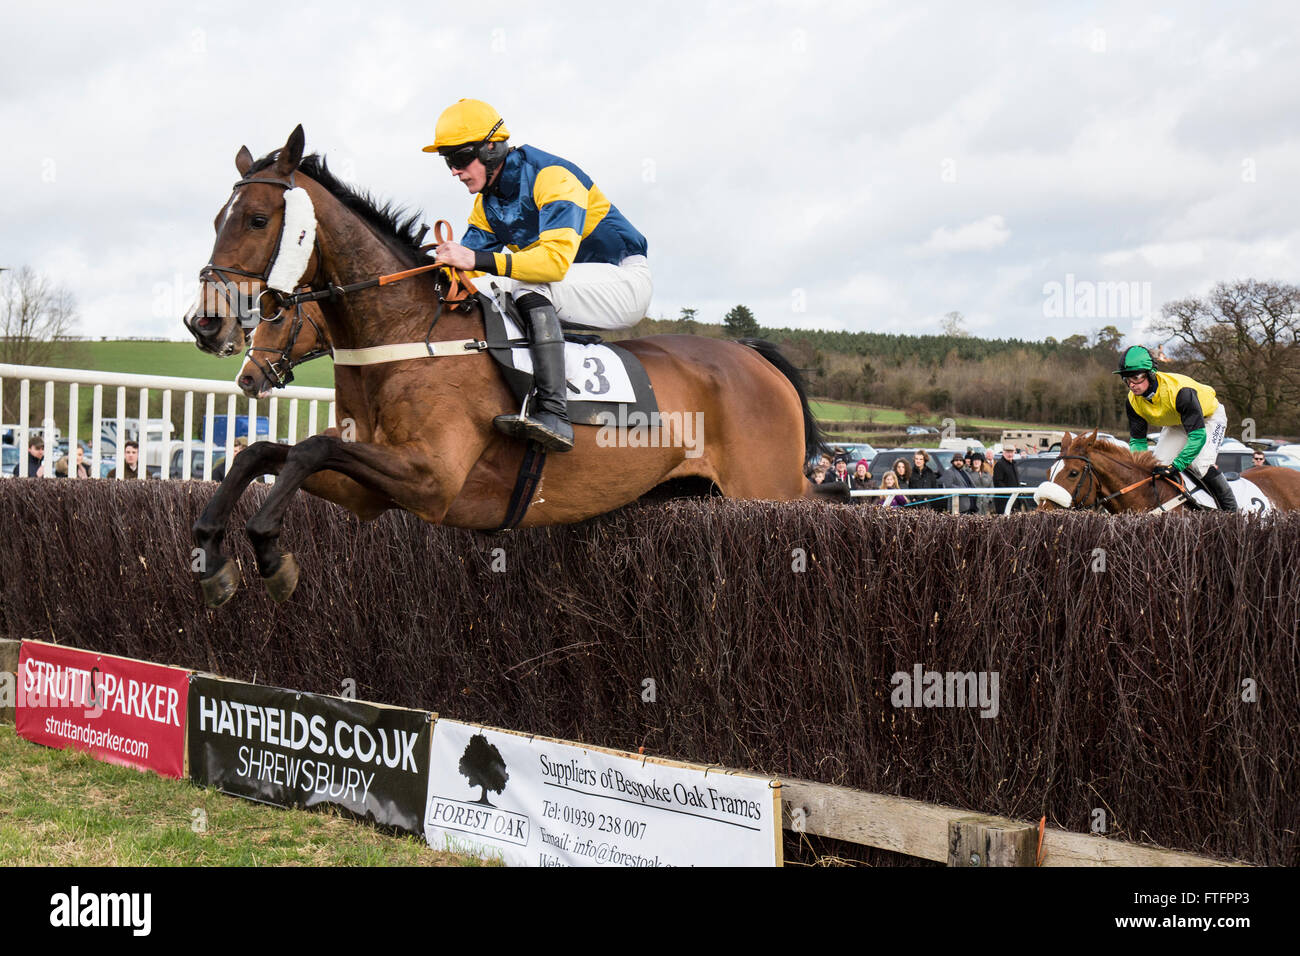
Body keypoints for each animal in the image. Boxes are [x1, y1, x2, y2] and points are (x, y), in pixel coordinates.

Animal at [182, 125, 826, 606]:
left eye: (257, 219)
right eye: (215, 219)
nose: (204, 324)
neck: (407, 334)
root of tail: (754, 355)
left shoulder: (433, 479)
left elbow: (309, 449)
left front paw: (270, 553)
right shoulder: (370, 490)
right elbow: (265, 453)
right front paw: (212, 554)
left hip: (767, 489)